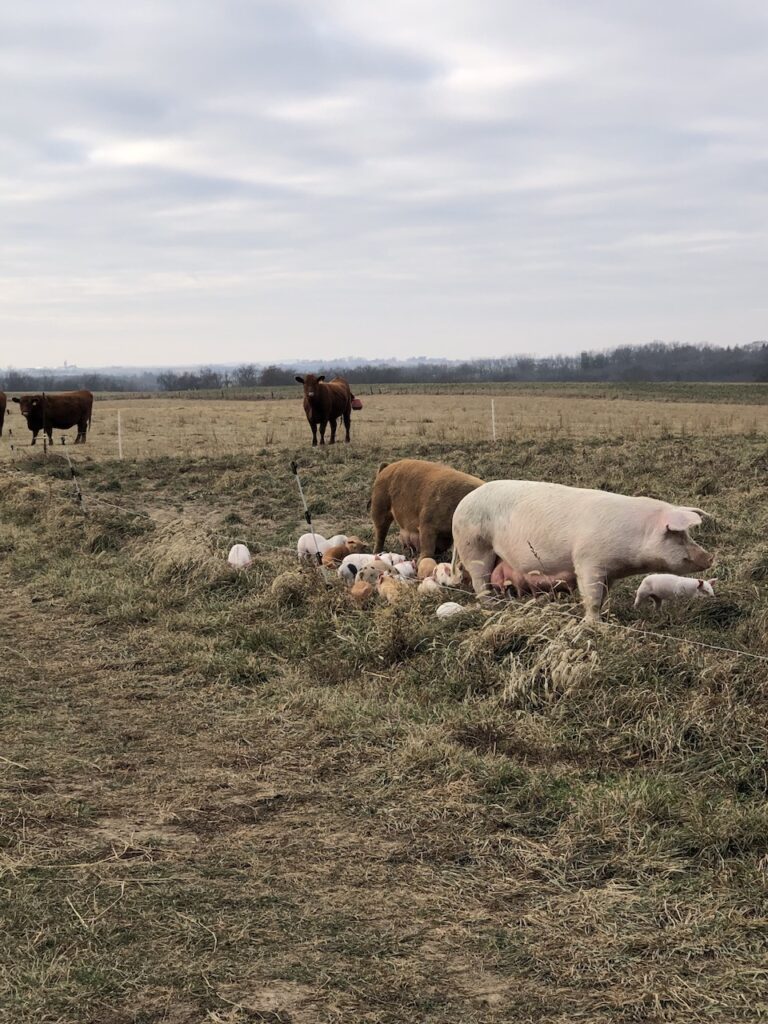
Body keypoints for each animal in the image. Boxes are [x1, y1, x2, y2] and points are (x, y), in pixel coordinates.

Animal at [450, 481, 716, 622]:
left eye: (686, 535)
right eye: (678, 535)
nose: (710, 557)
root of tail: (462, 503)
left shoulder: (609, 572)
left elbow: (604, 595)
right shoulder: (588, 562)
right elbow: (592, 596)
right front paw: (595, 624)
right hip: (474, 545)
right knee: (480, 582)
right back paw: (492, 606)